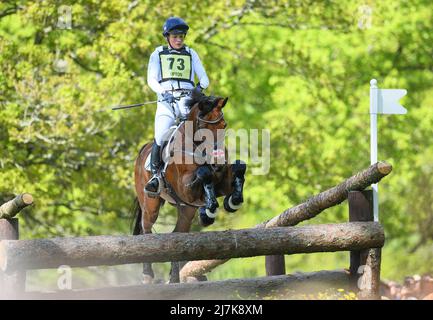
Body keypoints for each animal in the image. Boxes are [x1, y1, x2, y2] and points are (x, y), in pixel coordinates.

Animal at [131, 89, 246, 284]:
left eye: (224, 124)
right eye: (203, 126)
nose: (218, 160)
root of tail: (142, 152)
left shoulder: (220, 183)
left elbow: (239, 167)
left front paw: (232, 201)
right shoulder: (186, 190)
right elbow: (204, 174)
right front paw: (209, 209)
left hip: (186, 211)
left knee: (177, 234)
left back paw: (174, 277)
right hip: (151, 204)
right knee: (146, 230)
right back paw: (148, 275)